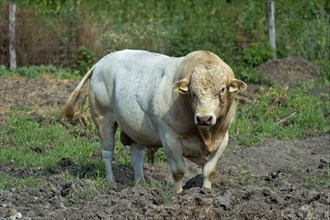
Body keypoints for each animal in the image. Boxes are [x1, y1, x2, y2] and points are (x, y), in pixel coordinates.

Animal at [63, 49, 246, 192]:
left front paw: (206, 192)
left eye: (222, 89)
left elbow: (209, 171)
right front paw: (178, 195)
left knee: (137, 154)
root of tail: (105, 59)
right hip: (104, 120)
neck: (205, 134)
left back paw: (140, 184)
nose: (204, 118)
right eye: (192, 92)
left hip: (137, 128)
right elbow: (178, 171)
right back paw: (111, 182)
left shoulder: (223, 139)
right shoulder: (170, 138)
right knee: (107, 152)